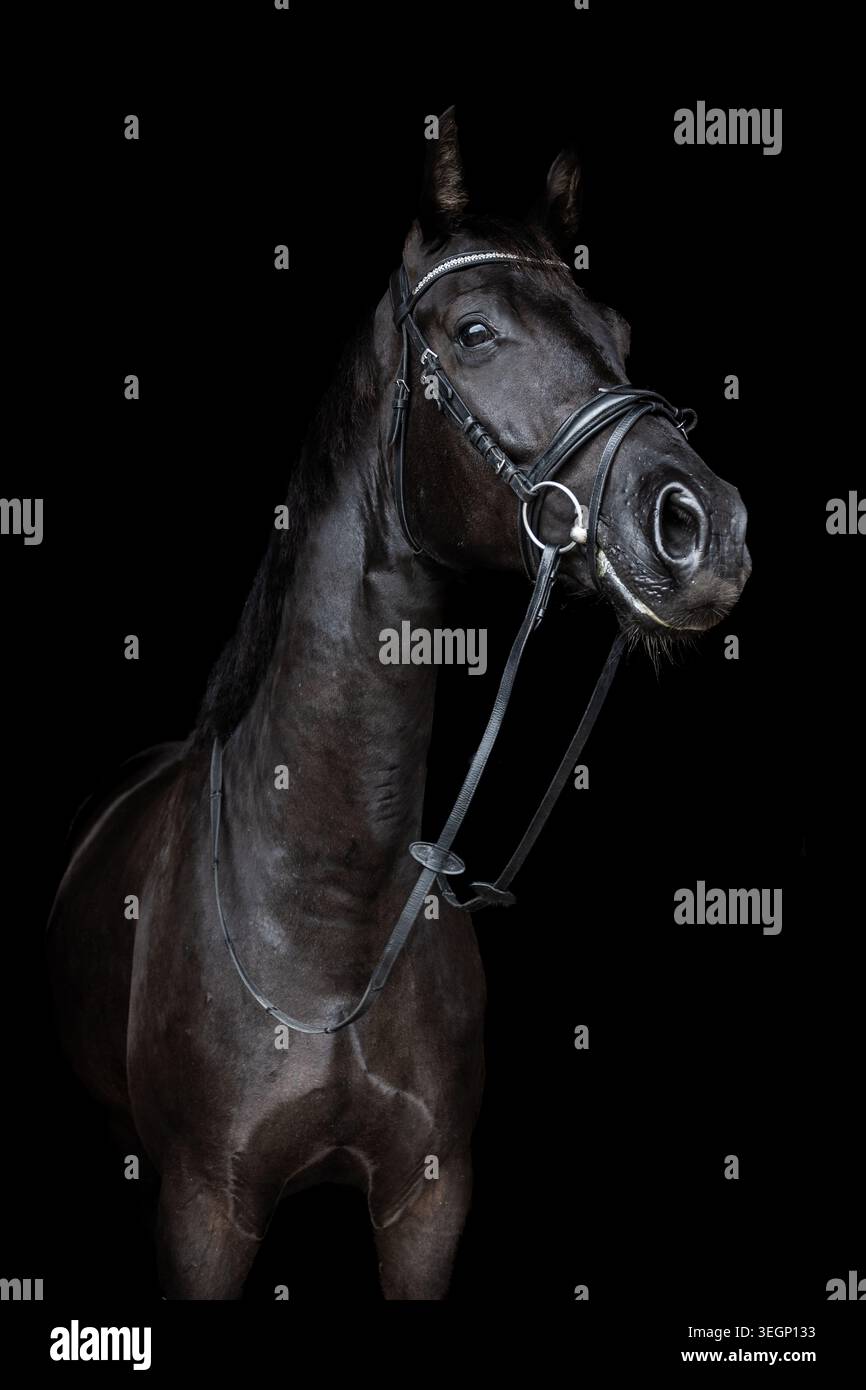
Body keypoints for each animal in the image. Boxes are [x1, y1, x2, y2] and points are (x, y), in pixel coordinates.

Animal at [47, 110, 750, 1300]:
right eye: (472, 332)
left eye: (617, 327)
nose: (703, 524)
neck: (330, 916)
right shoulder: (202, 1213)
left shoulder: (428, 1203)